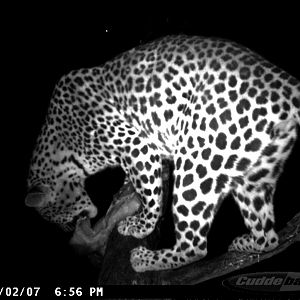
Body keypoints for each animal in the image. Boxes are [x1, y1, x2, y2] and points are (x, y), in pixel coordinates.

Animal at [25, 35, 300, 272]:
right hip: (252, 176)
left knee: (194, 247)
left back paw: (144, 259)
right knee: (268, 236)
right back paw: (248, 243)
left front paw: (141, 224)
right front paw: (125, 192)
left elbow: (150, 194)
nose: (70, 229)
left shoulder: (137, 146)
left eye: (56, 216)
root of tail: (288, 87)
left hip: (196, 161)